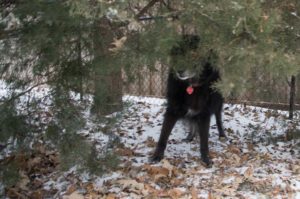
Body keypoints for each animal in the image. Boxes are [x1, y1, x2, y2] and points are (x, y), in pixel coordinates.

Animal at [151, 34, 224, 166]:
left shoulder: (204, 114)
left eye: (194, 54)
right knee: (192, 123)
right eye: (178, 54)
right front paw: (157, 156)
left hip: (217, 103)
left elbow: (204, 141)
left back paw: (222, 134)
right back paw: (190, 136)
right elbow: (163, 137)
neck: (191, 86)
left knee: (218, 118)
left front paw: (206, 159)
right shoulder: (172, 110)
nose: (179, 70)